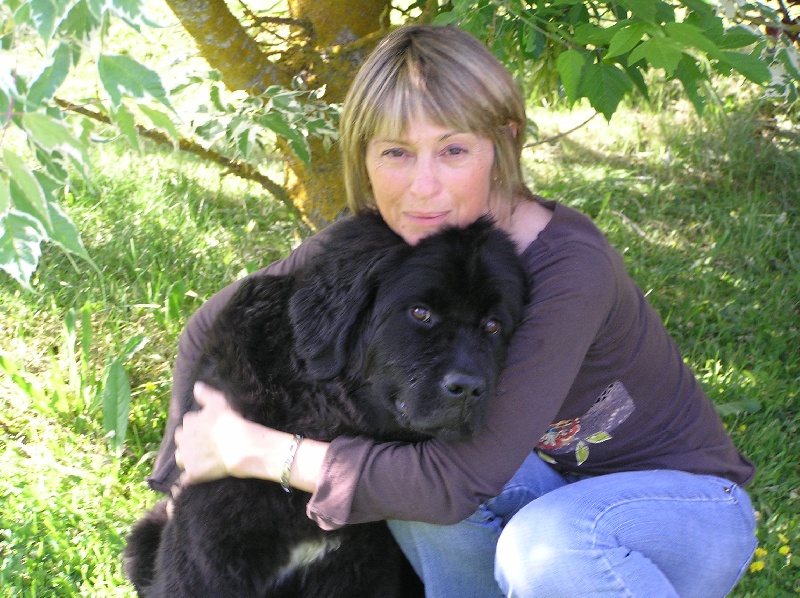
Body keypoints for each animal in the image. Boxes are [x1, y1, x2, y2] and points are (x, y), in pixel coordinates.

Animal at [124, 213, 528, 597]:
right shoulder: (206, 555)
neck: (319, 409)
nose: (469, 388)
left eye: (492, 325)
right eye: (420, 313)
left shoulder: (363, 566)